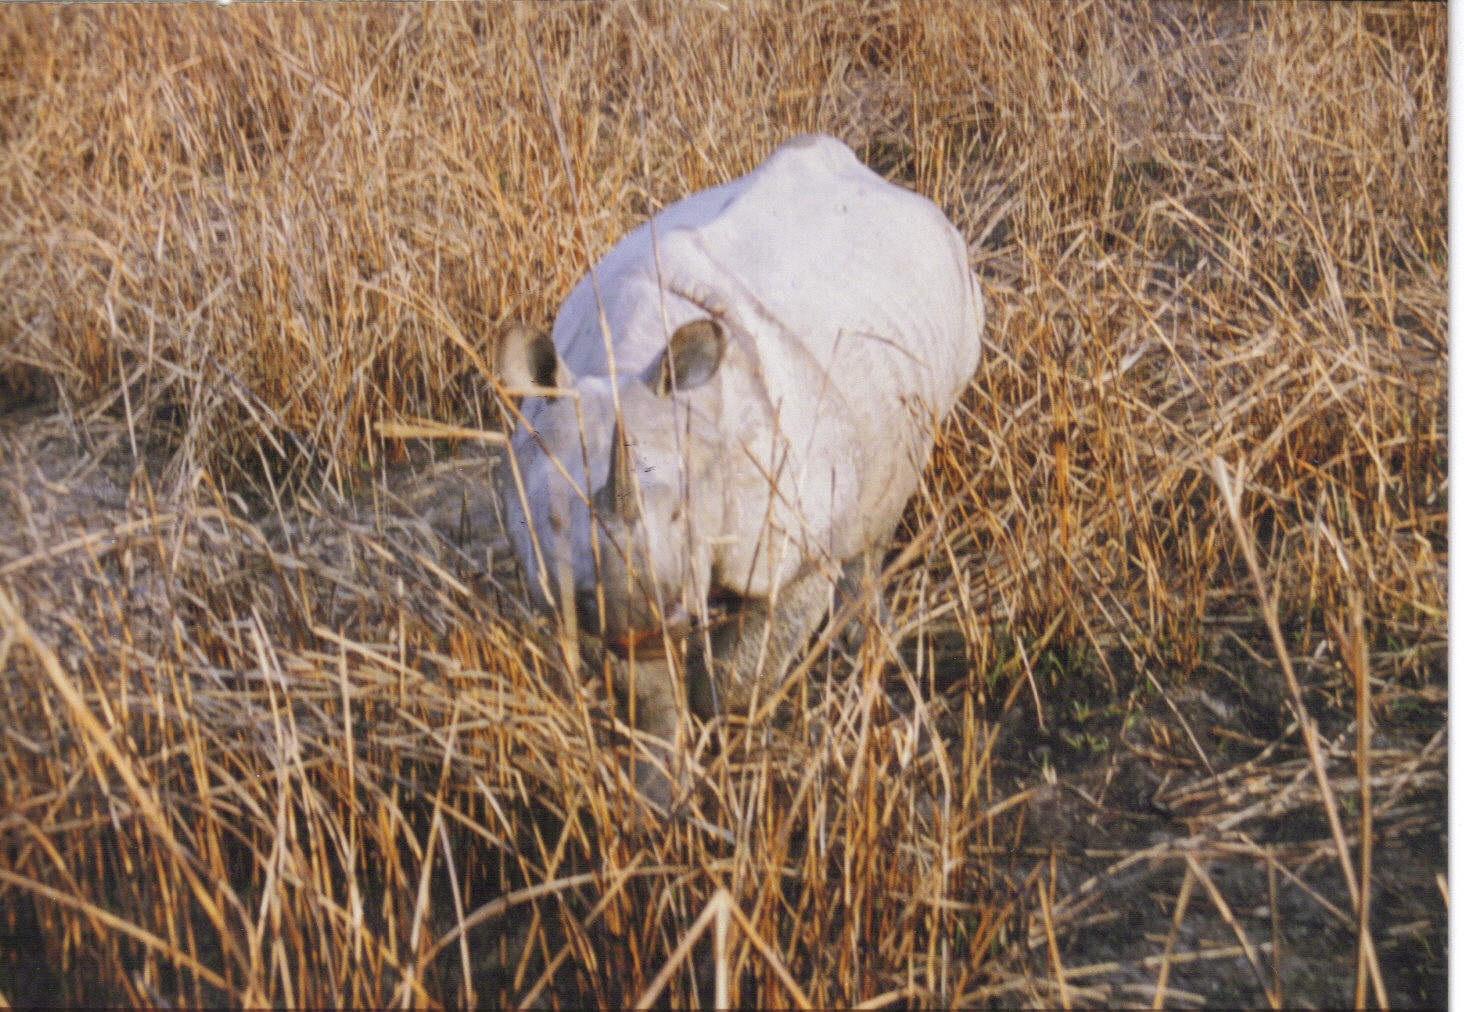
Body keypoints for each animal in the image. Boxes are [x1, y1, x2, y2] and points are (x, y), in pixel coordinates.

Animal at [497, 134, 984, 804]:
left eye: (684, 511)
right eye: (552, 520)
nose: (639, 619)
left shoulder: (795, 550)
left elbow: (738, 677)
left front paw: (733, 748)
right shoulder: (581, 589)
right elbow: (647, 695)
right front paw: (660, 797)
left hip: (958, 310)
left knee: (891, 495)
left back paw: (867, 647)